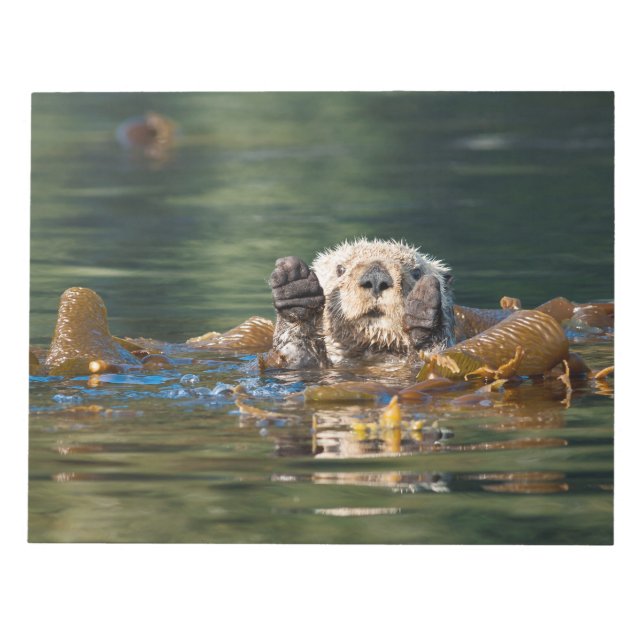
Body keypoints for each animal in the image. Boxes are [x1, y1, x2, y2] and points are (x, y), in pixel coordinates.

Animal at [267, 238, 455, 368]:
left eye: (416, 272)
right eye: (340, 269)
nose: (376, 277)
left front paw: (423, 311)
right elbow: (296, 354)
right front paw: (295, 289)